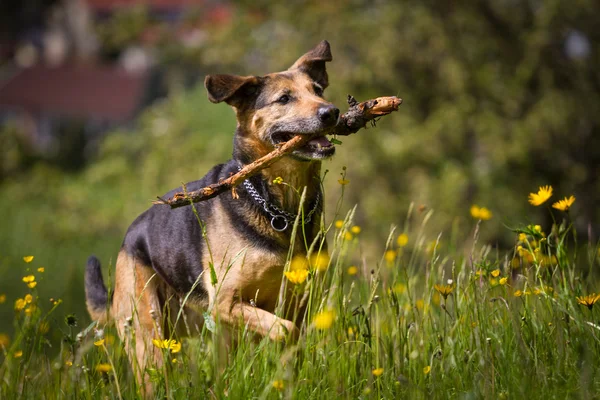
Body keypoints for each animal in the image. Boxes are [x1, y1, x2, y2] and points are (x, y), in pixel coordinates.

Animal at [84, 41, 338, 388]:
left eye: (318, 91)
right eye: (284, 99)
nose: (332, 112)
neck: (278, 206)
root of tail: (129, 238)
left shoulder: (297, 301)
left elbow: (293, 340)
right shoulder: (226, 302)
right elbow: (285, 330)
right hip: (149, 336)